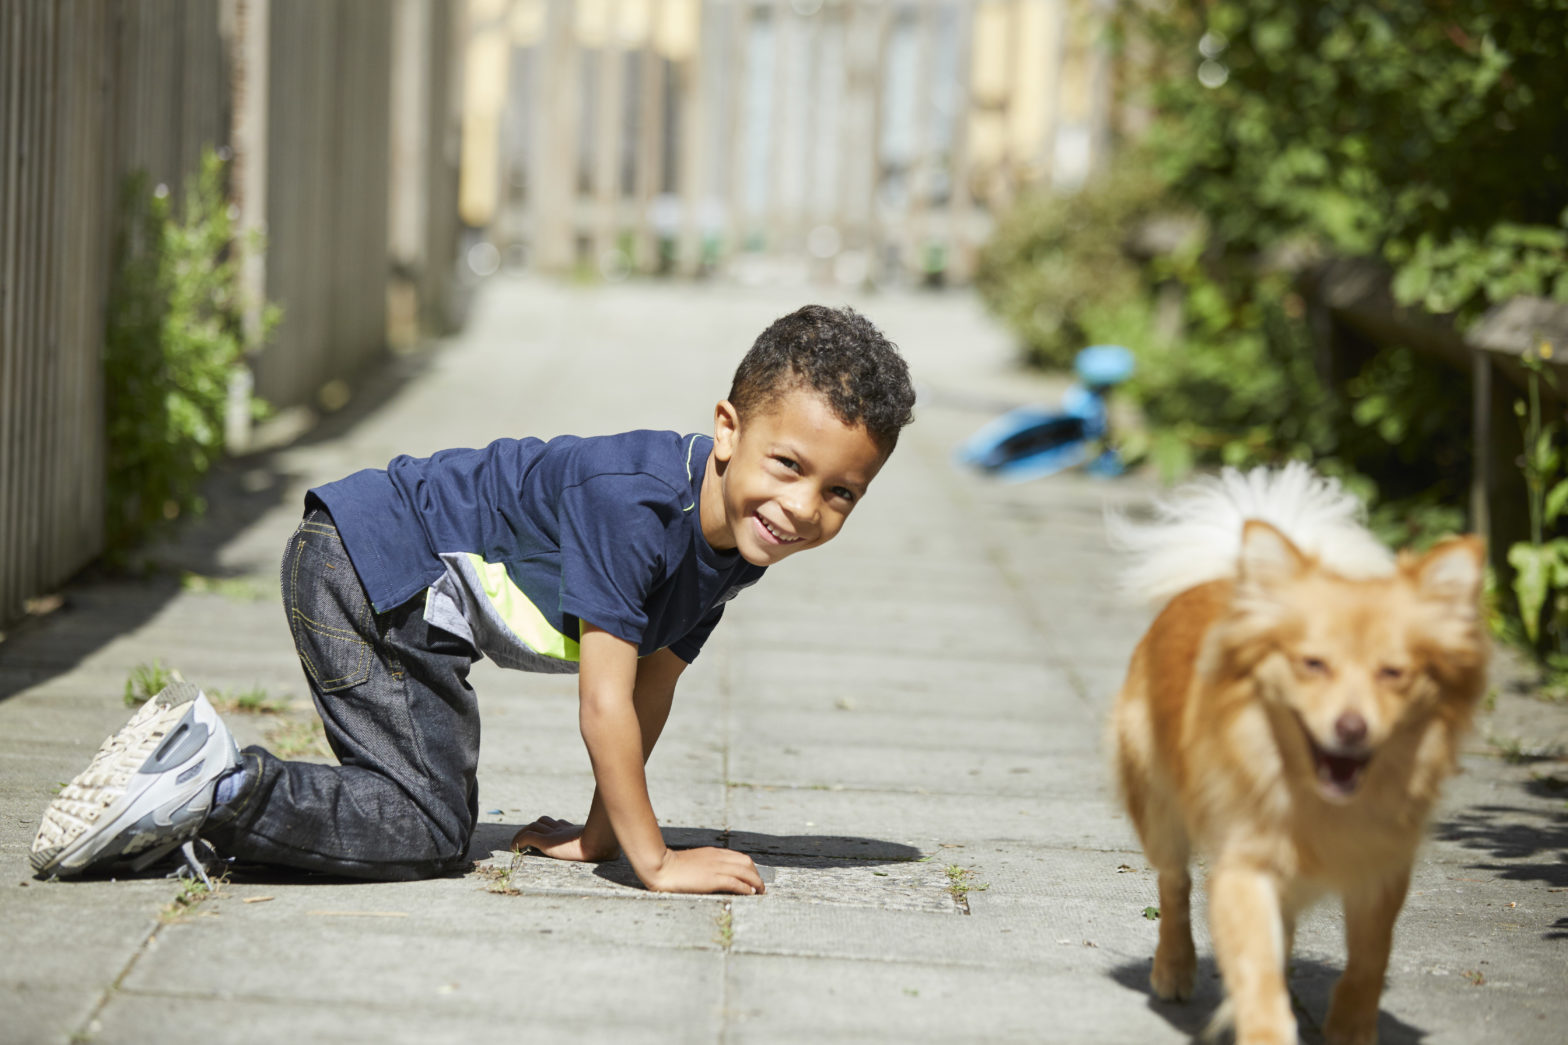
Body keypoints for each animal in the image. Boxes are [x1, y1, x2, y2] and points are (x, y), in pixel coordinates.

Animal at [1110, 467, 1486, 1041]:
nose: (1351, 727)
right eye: (1312, 664)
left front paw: (1351, 1027)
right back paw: (1174, 969)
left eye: (1393, 673)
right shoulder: (1245, 865)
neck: (1319, 800)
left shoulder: (1381, 871)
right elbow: (1254, 966)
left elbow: (1370, 958)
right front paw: (1266, 1026)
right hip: (1158, 805)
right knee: (1174, 884)